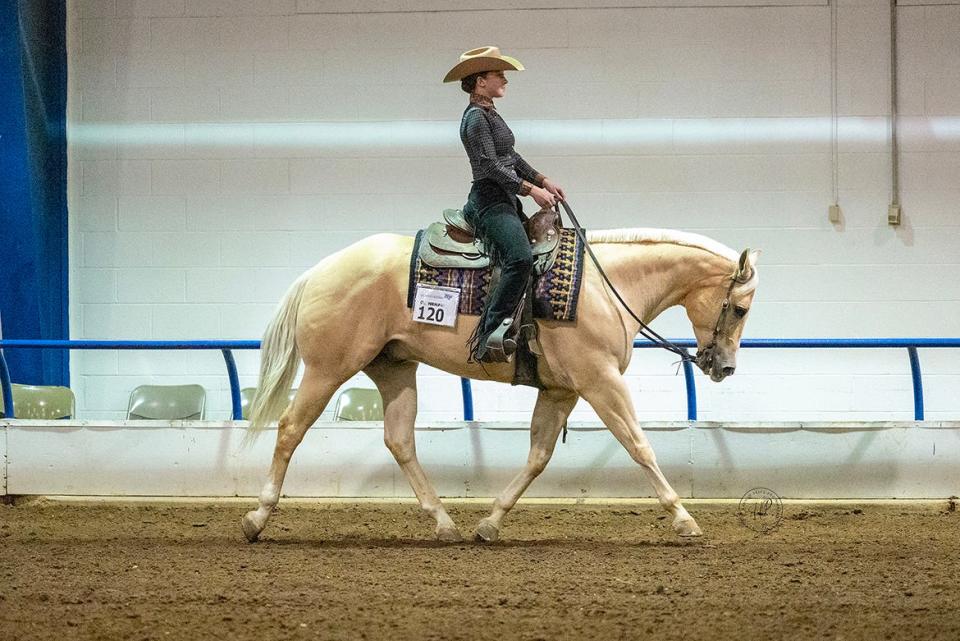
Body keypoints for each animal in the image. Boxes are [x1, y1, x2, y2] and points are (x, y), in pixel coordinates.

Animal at [244, 228, 760, 544]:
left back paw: (444, 523)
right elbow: (639, 445)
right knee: (290, 429)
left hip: (394, 370)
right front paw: (684, 518)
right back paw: (257, 518)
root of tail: (319, 271)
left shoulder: (561, 392)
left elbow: (538, 456)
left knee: (400, 440)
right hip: (328, 369)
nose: (725, 367)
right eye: (739, 308)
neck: (604, 287)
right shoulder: (600, 382)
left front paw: (490, 523)